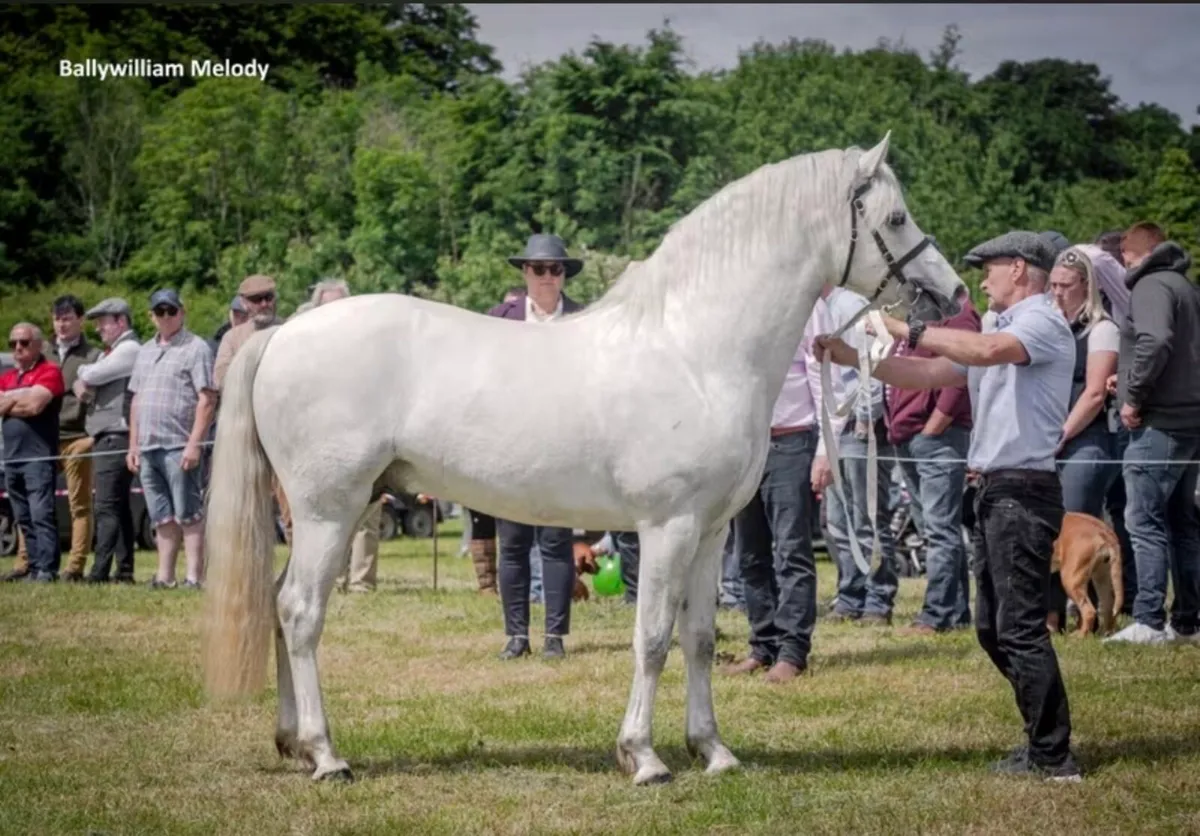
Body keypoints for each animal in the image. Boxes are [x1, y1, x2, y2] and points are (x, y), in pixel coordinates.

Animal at [201, 132, 968, 786]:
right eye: (896, 218)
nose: (953, 294)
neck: (695, 348)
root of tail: (282, 334)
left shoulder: (710, 532)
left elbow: (696, 637)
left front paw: (713, 751)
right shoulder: (668, 528)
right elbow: (652, 636)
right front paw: (644, 757)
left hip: (329, 512)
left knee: (278, 606)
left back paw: (294, 742)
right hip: (328, 510)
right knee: (300, 611)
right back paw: (326, 754)